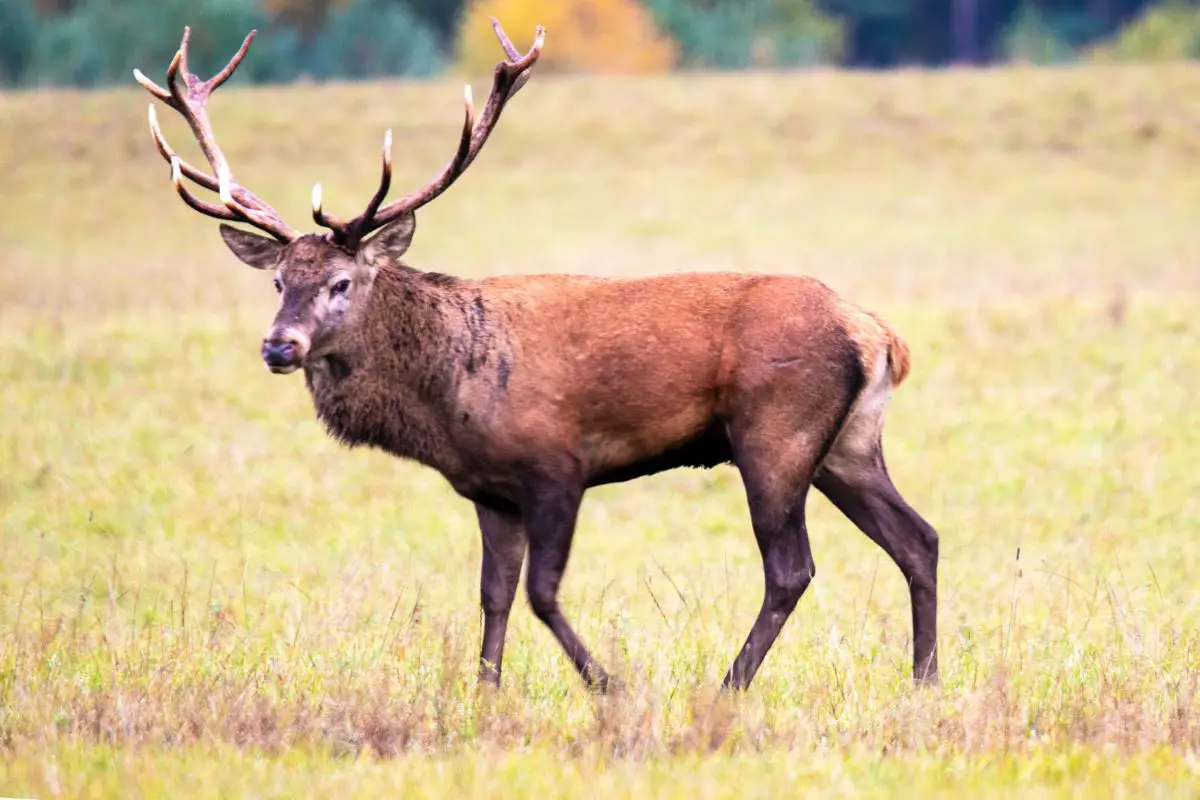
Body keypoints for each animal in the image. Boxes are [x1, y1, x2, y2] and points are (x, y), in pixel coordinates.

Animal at [133, 18, 936, 695]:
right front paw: (484, 695)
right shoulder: (490, 490)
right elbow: (493, 596)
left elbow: (540, 593)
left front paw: (609, 686)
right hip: (847, 444)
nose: (279, 345)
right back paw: (923, 680)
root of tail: (878, 333)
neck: (450, 396)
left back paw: (729, 687)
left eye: (341, 282)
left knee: (792, 569)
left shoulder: (557, 464)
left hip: (775, 433)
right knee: (918, 537)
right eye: (277, 282)